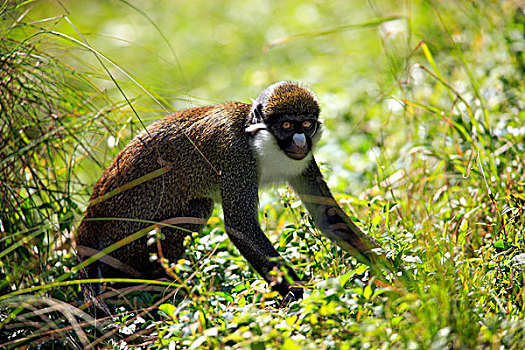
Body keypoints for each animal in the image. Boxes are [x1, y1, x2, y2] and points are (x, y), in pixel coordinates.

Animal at [75, 81, 390, 306]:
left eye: (306, 124)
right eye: (287, 125)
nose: (301, 141)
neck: (256, 139)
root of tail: (85, 237)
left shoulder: (303, 161)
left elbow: (327, 217)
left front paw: (391, 268)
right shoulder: (235, 155)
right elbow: (241, 226)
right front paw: (301, 295)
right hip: (126, 246)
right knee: (199, 208)